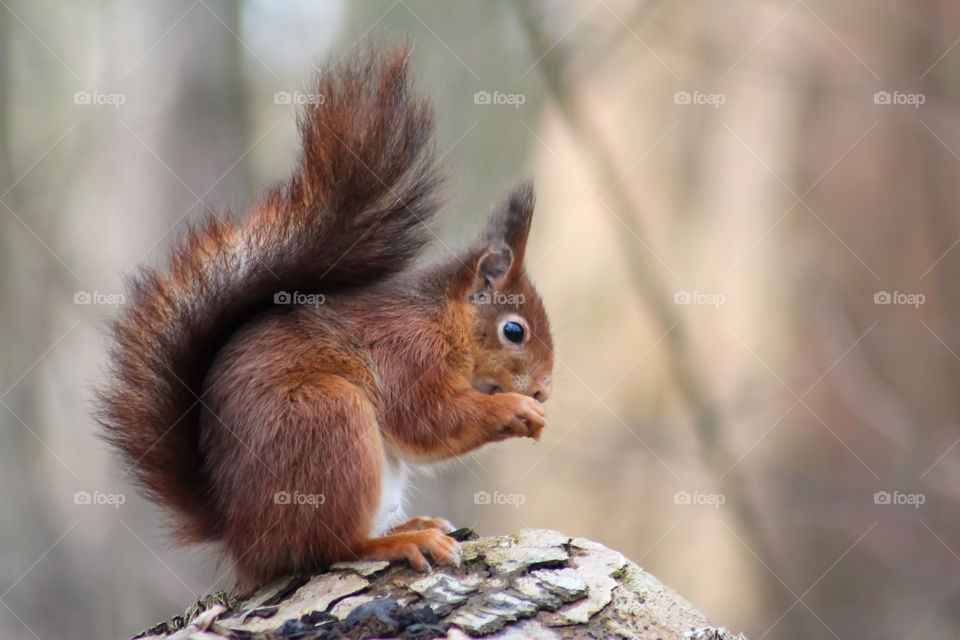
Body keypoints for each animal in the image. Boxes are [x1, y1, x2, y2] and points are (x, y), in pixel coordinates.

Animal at [97, 42, 556, 588]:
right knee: (333, 544)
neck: (442, 321)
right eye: (514, 331)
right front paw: (516, 410)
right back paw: (400, 541)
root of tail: (243, 538)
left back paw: (411, 524)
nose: (544, 389)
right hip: (328, 418)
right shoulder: (406, 353)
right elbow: (427, 419)